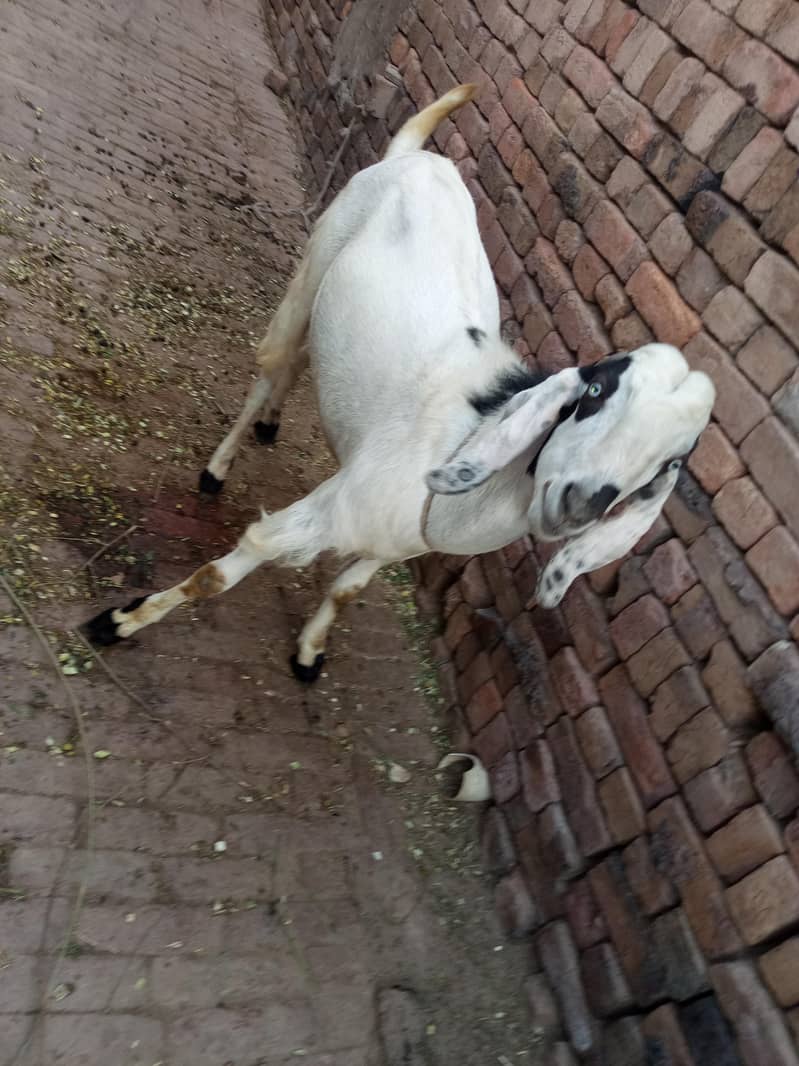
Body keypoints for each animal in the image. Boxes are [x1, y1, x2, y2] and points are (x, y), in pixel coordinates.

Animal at [86, 84, 715, 682]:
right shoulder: (332, 508)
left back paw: (269, 424)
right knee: (274, 364)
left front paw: (309, 653)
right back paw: (218, 467)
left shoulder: (396, 542)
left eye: (670, 463)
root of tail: (416, 155)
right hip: (313, 264)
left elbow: (347, 588)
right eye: (595, 391)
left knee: (301, 364)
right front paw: (120, 622)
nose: (580, 500)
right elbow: (221, 573)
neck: (470, 436)